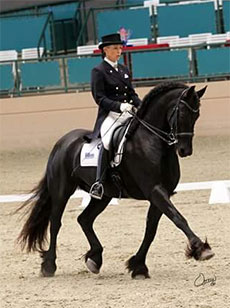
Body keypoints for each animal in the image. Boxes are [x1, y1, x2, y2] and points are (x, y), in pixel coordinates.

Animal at [17, 82, 214, 280]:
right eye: (181, 114)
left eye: (196, 115)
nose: (184, 150)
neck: (153, 142)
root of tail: (62, 142)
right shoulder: (154, 190)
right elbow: (178, 218)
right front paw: (201, 249)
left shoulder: (161, 193)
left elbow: (151, 230)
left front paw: (138, 266)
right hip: (61, 191)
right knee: (56, 223)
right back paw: (49, 265)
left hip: (104, 196)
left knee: (84, 219)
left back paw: (95, 259)